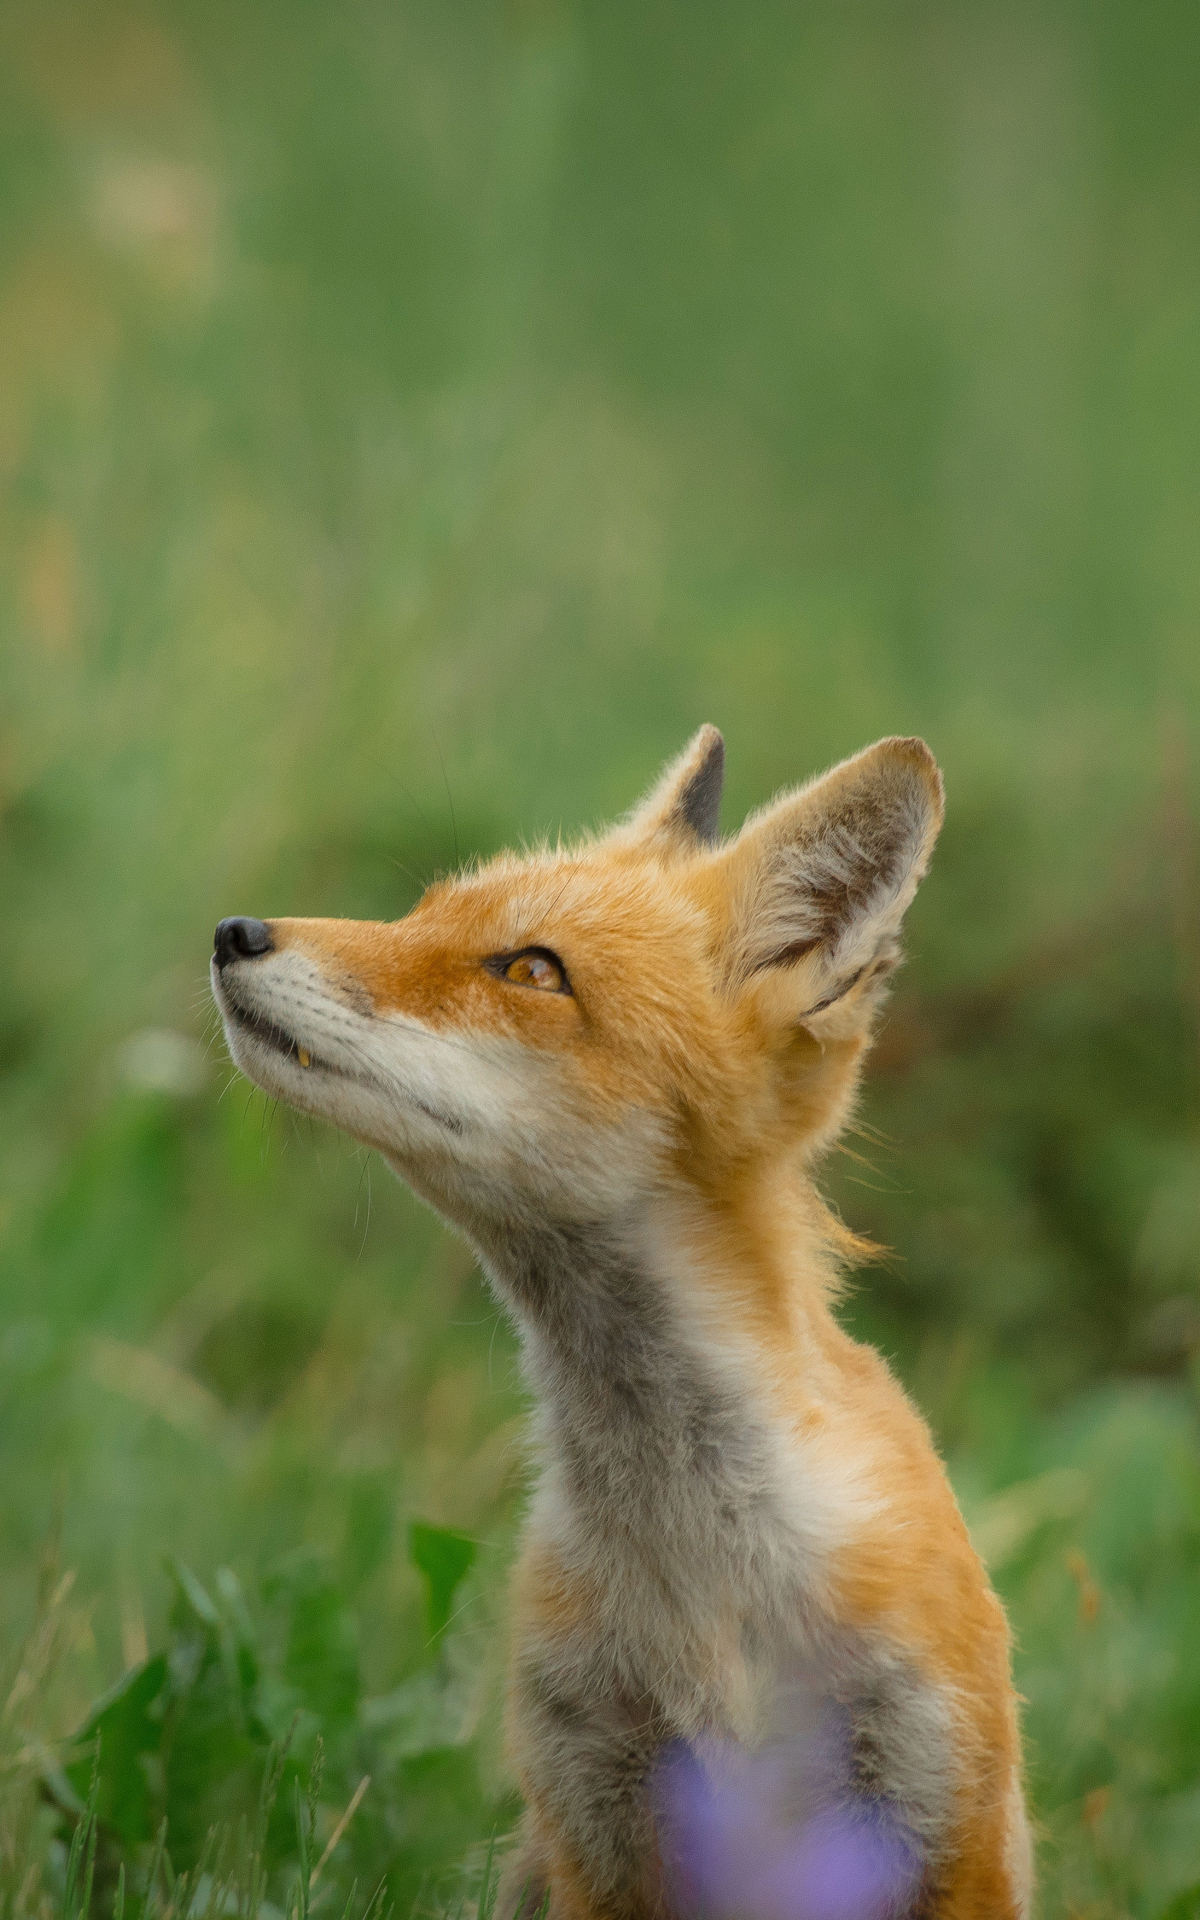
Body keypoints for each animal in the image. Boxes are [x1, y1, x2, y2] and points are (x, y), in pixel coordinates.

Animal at [213, 725, 1029, 1912]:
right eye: (421, 914)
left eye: (530, 969)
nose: (234, 933)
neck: (699, 1572)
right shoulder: (593, 1814)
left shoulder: (942, 1815)